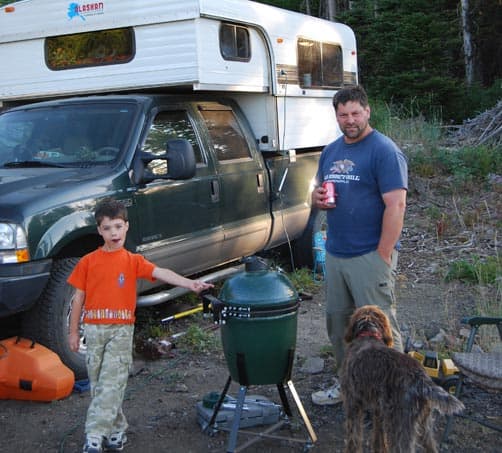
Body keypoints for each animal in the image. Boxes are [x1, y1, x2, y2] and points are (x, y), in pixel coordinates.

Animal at [340, 304, 464, 452]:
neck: (369, 333)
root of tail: (421, 379)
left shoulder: (353, 404)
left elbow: (354, 439)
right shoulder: (379, 409)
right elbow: (378, 438)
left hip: (400, 427)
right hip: (424, 425)